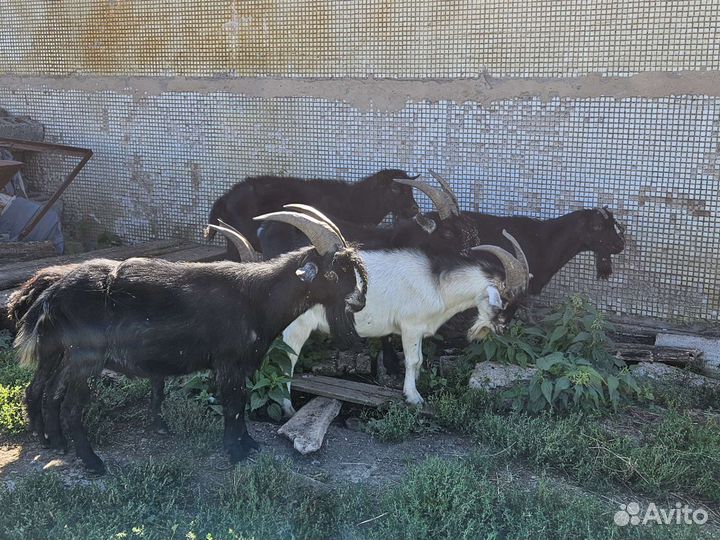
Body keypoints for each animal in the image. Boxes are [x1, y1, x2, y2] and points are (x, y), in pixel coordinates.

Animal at [15, 210, 367, 474]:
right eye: (335, 271)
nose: (360, 301)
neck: (257, 297)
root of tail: (52, 291)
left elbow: (239, 404)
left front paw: (248, 445)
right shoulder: (228, 361)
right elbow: (233, 405)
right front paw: (236, 452)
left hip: (62, 353)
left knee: (44, 391)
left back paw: (53, 442)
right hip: (86, 358)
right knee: (71, 406)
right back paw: (92, 462)